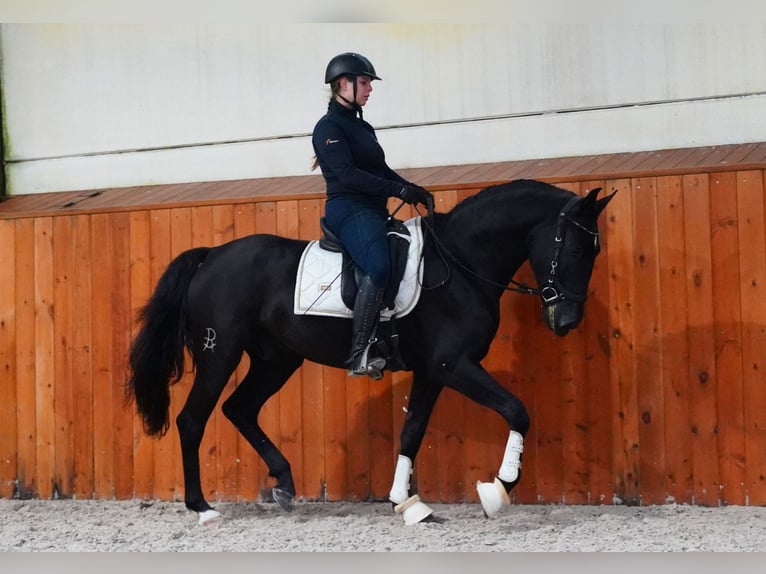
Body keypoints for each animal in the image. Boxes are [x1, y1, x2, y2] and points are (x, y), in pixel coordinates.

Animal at [126, 179, 616, 528]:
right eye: (575, 247)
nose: (567, 320)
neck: (459, 265)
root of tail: (211, 256)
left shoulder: (432, 371)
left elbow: (412, 431)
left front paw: (408, 503)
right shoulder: (453, 365)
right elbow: (517, 410)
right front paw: (498, 489)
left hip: (276, 359)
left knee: (240, 409)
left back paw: (284, 484)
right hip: (219, 354)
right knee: (193, 420)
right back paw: (202, 507)